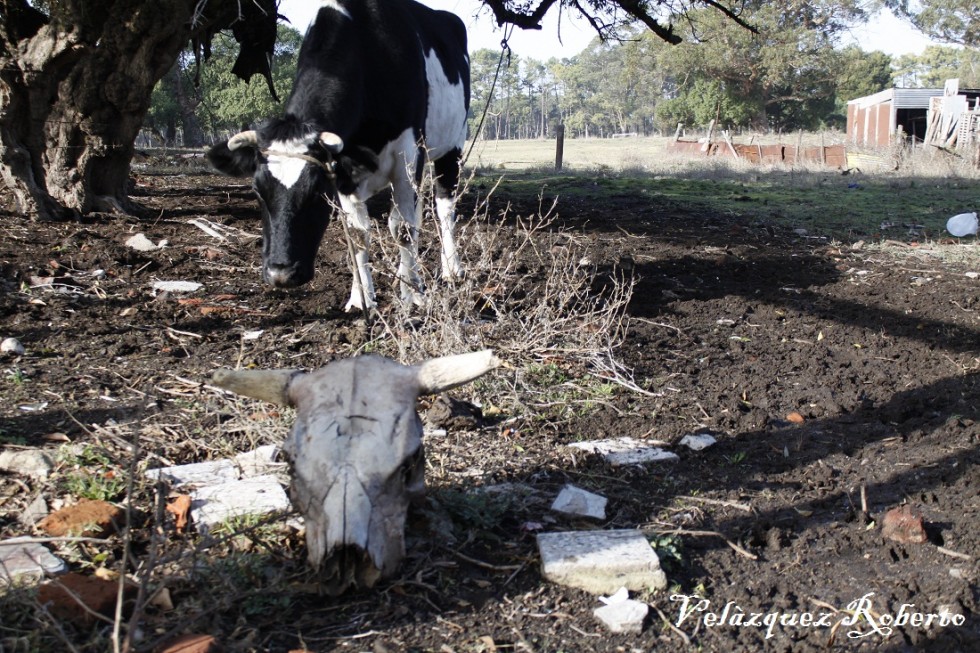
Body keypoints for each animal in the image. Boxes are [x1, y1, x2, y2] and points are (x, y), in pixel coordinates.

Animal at [208, 0, 470, 310]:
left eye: (316, 192)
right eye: (258, 192)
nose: (281, 273)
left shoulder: (408, 153)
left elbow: (403, 229)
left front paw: (411, 295)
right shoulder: (344, 171)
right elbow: (358, 233)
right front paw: (362, 298)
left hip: (451, 146)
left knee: (444, 208)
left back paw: (451, 269)